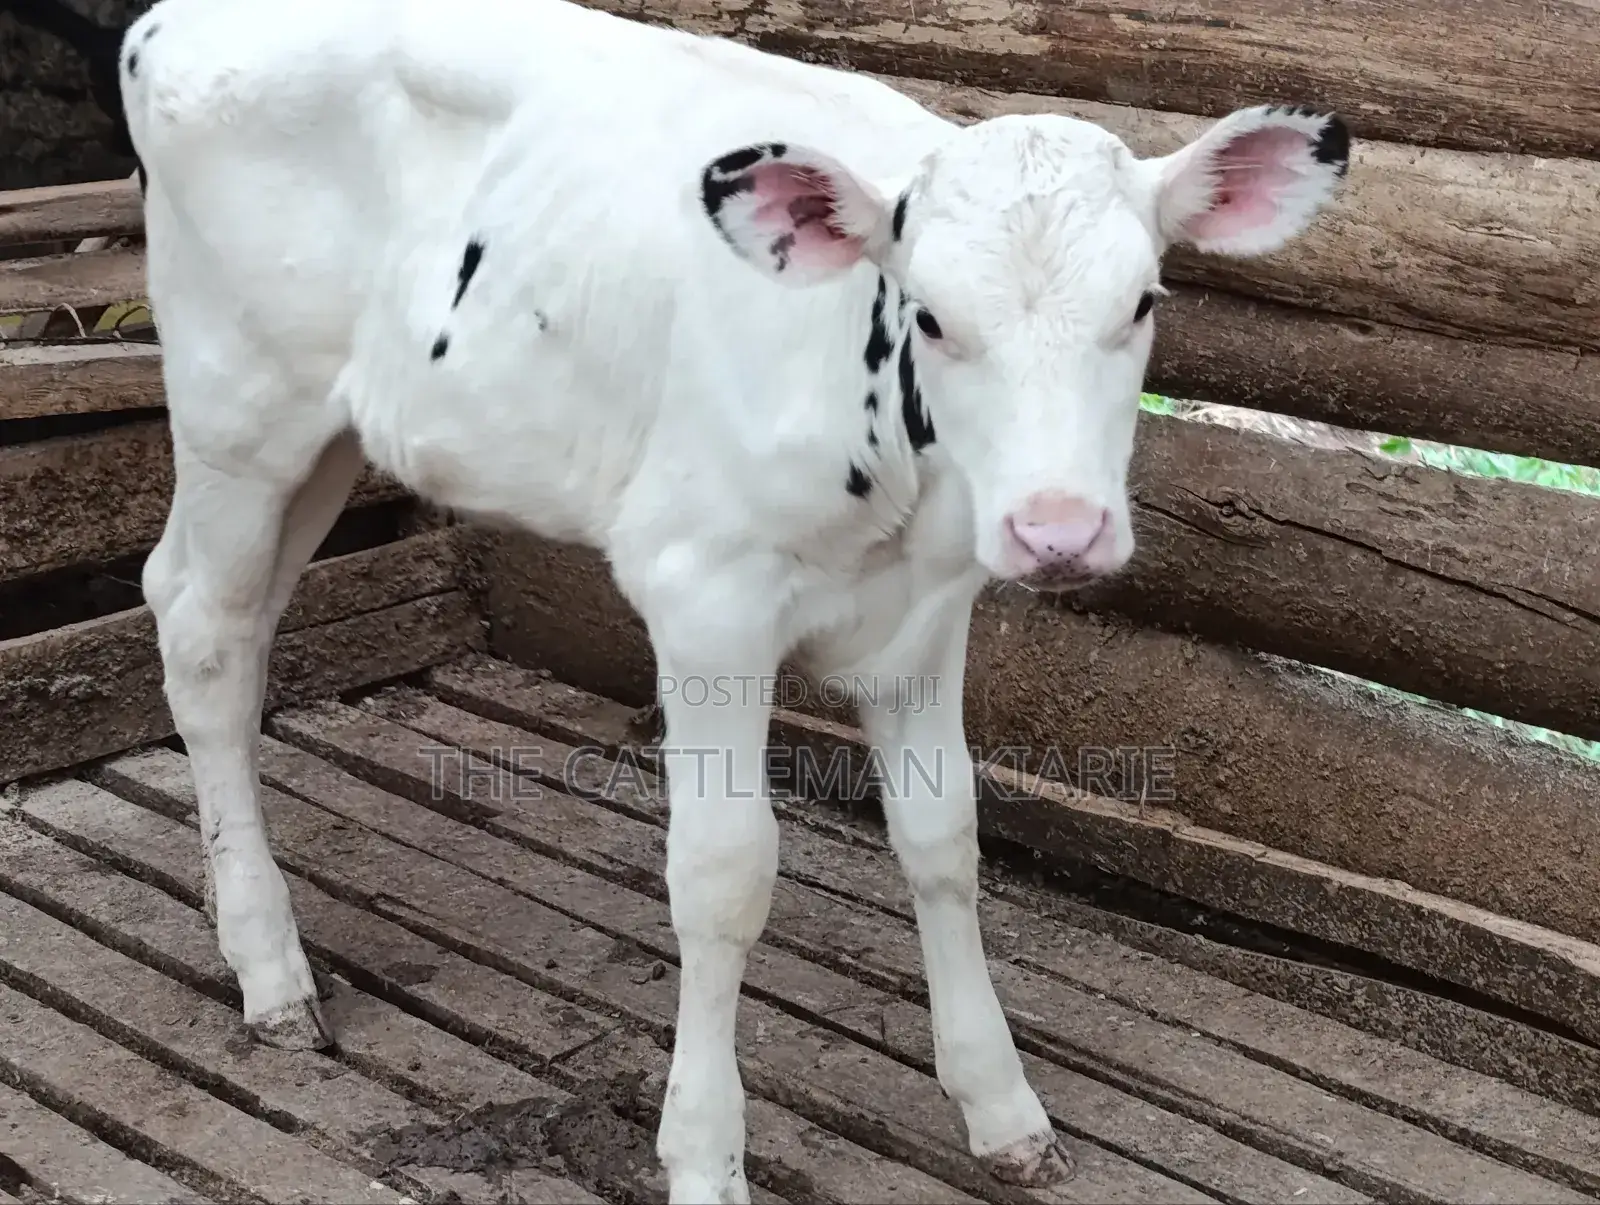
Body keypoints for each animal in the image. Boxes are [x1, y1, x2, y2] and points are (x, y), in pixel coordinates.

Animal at [117, 0, 1349, 1198]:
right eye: (932, 316)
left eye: (1142, 302)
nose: (1057, 529)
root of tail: (172, 19)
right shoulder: (704, 593)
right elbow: (723, 876)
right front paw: (704, 1155)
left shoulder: (926, 610)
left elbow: (944, 831)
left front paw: (1002, 1106)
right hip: (239, 410)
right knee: (207, 636)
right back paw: (270, 968)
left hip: (326, 434)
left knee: (217, 609)